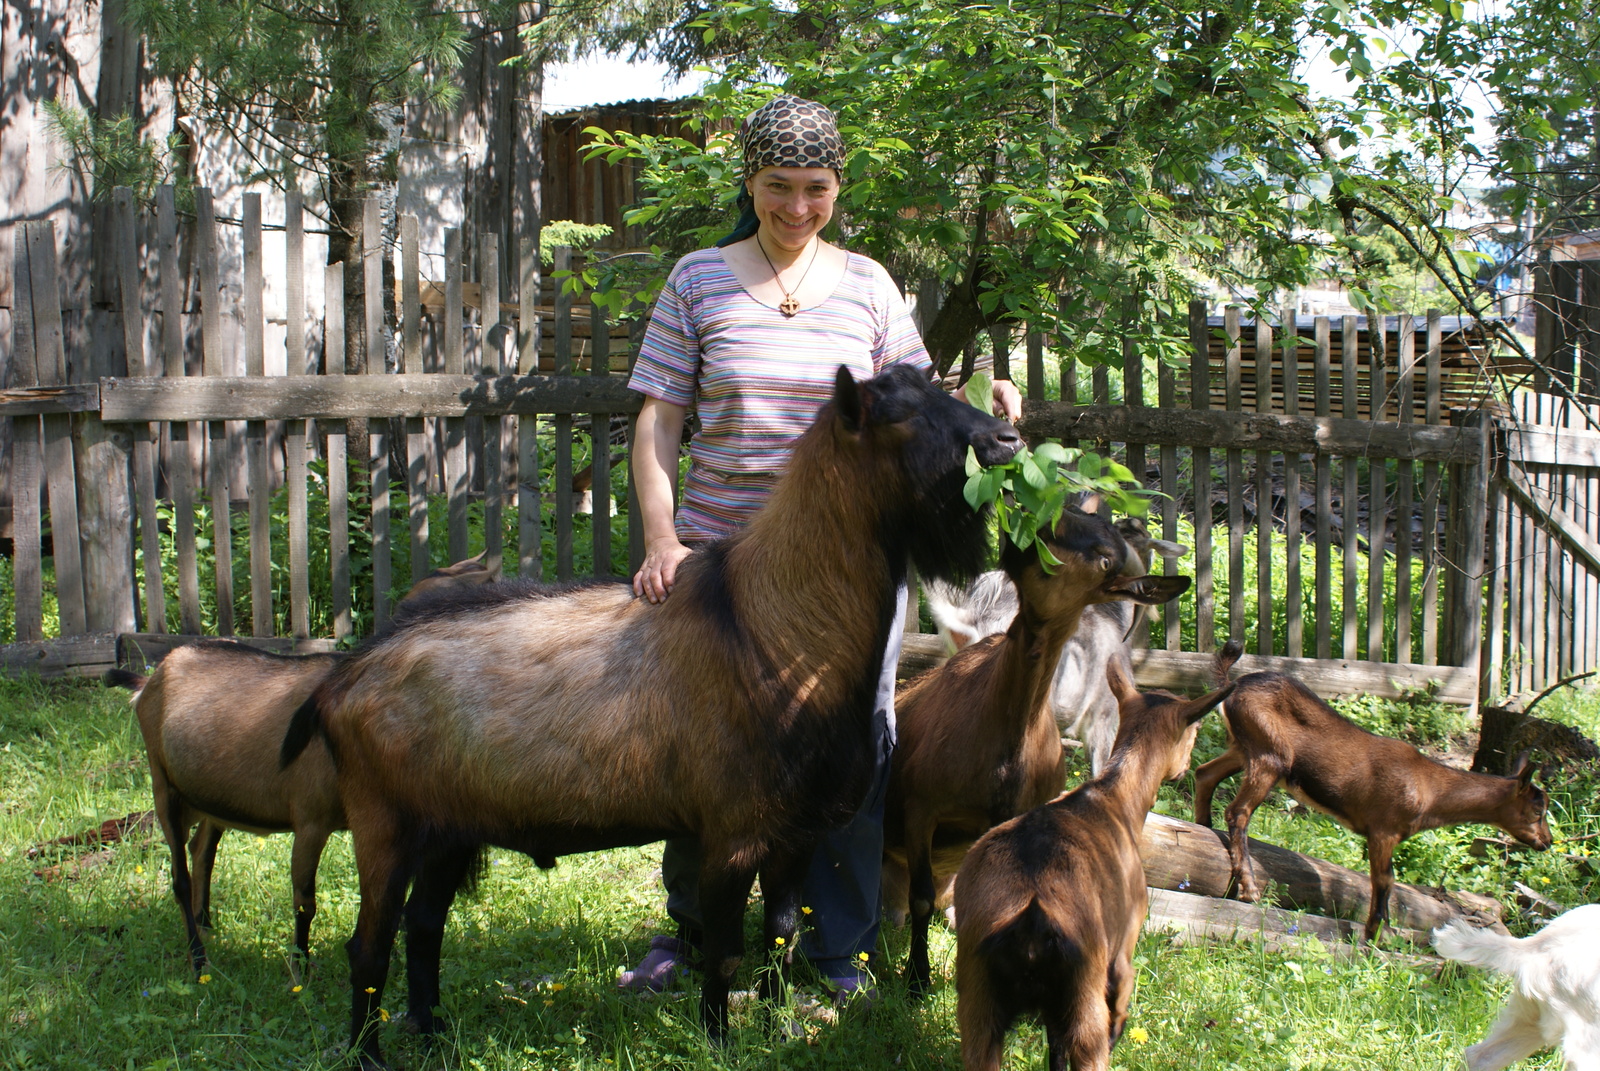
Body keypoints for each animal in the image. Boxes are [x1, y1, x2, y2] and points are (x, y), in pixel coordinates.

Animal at [280, 365, 1017, 1062]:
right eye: (898, 412)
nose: (1005, 438)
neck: (770, 624)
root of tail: (342, 681)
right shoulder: (731, 830)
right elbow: (725, 950)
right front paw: (718, 1040)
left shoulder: (794, 832)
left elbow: (780, 937)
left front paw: (777, 1031)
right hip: (384, 820)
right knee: (368, 944)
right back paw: (369, 1055)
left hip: (447, 829)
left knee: (424, 925)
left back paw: (432, 1034)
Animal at [889, 505, 1190, 992]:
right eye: (1059, 519)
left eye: (1105, 560)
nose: (1019, 544)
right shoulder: (921, 805)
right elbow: (920, 898)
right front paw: (917, 978)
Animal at [947, 662, 1235, 1062]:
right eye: (1192, 732)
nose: (1186, 768)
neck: (1114, 799)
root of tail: (1031, 919)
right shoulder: (1124, 953)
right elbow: (1121, 1012)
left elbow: (1055, 1051)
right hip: (1086, 1003)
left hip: (979, 1006)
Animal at [1203, 640, 1548, 941]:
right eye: (1538, 810)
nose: (1546, 842)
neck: (1429, 787)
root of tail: (1234, 684)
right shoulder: (1383, 829)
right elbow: (1385, 879)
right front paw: (1379, 934)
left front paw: (1384, 931)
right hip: (1269, 755)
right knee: (1238, 811)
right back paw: (1249, 889)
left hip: (1244, 748)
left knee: (1205, 774)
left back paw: (1204, 829)